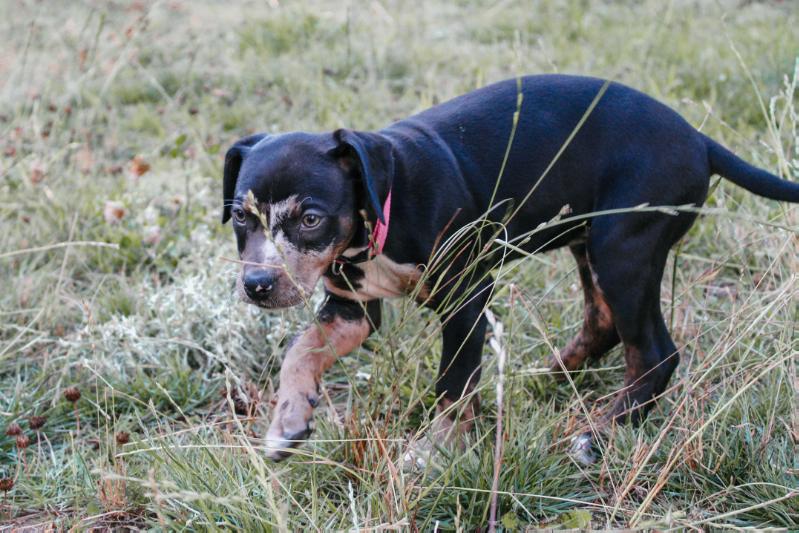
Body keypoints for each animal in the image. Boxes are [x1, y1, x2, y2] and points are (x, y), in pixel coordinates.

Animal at [220, 72, 799, 460]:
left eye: (311, 219)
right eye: (240, 217)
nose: (257, 284)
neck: (380, 204)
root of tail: (700, 140)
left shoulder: (467, 299)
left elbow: (453, 383)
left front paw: (435, 453)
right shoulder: (350, 309)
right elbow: (299, 352)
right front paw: (288, 419)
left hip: (624, 249)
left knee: (655, 354)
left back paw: (600, 432)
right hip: (590, 245)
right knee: (604, 323)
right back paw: (549, 378)